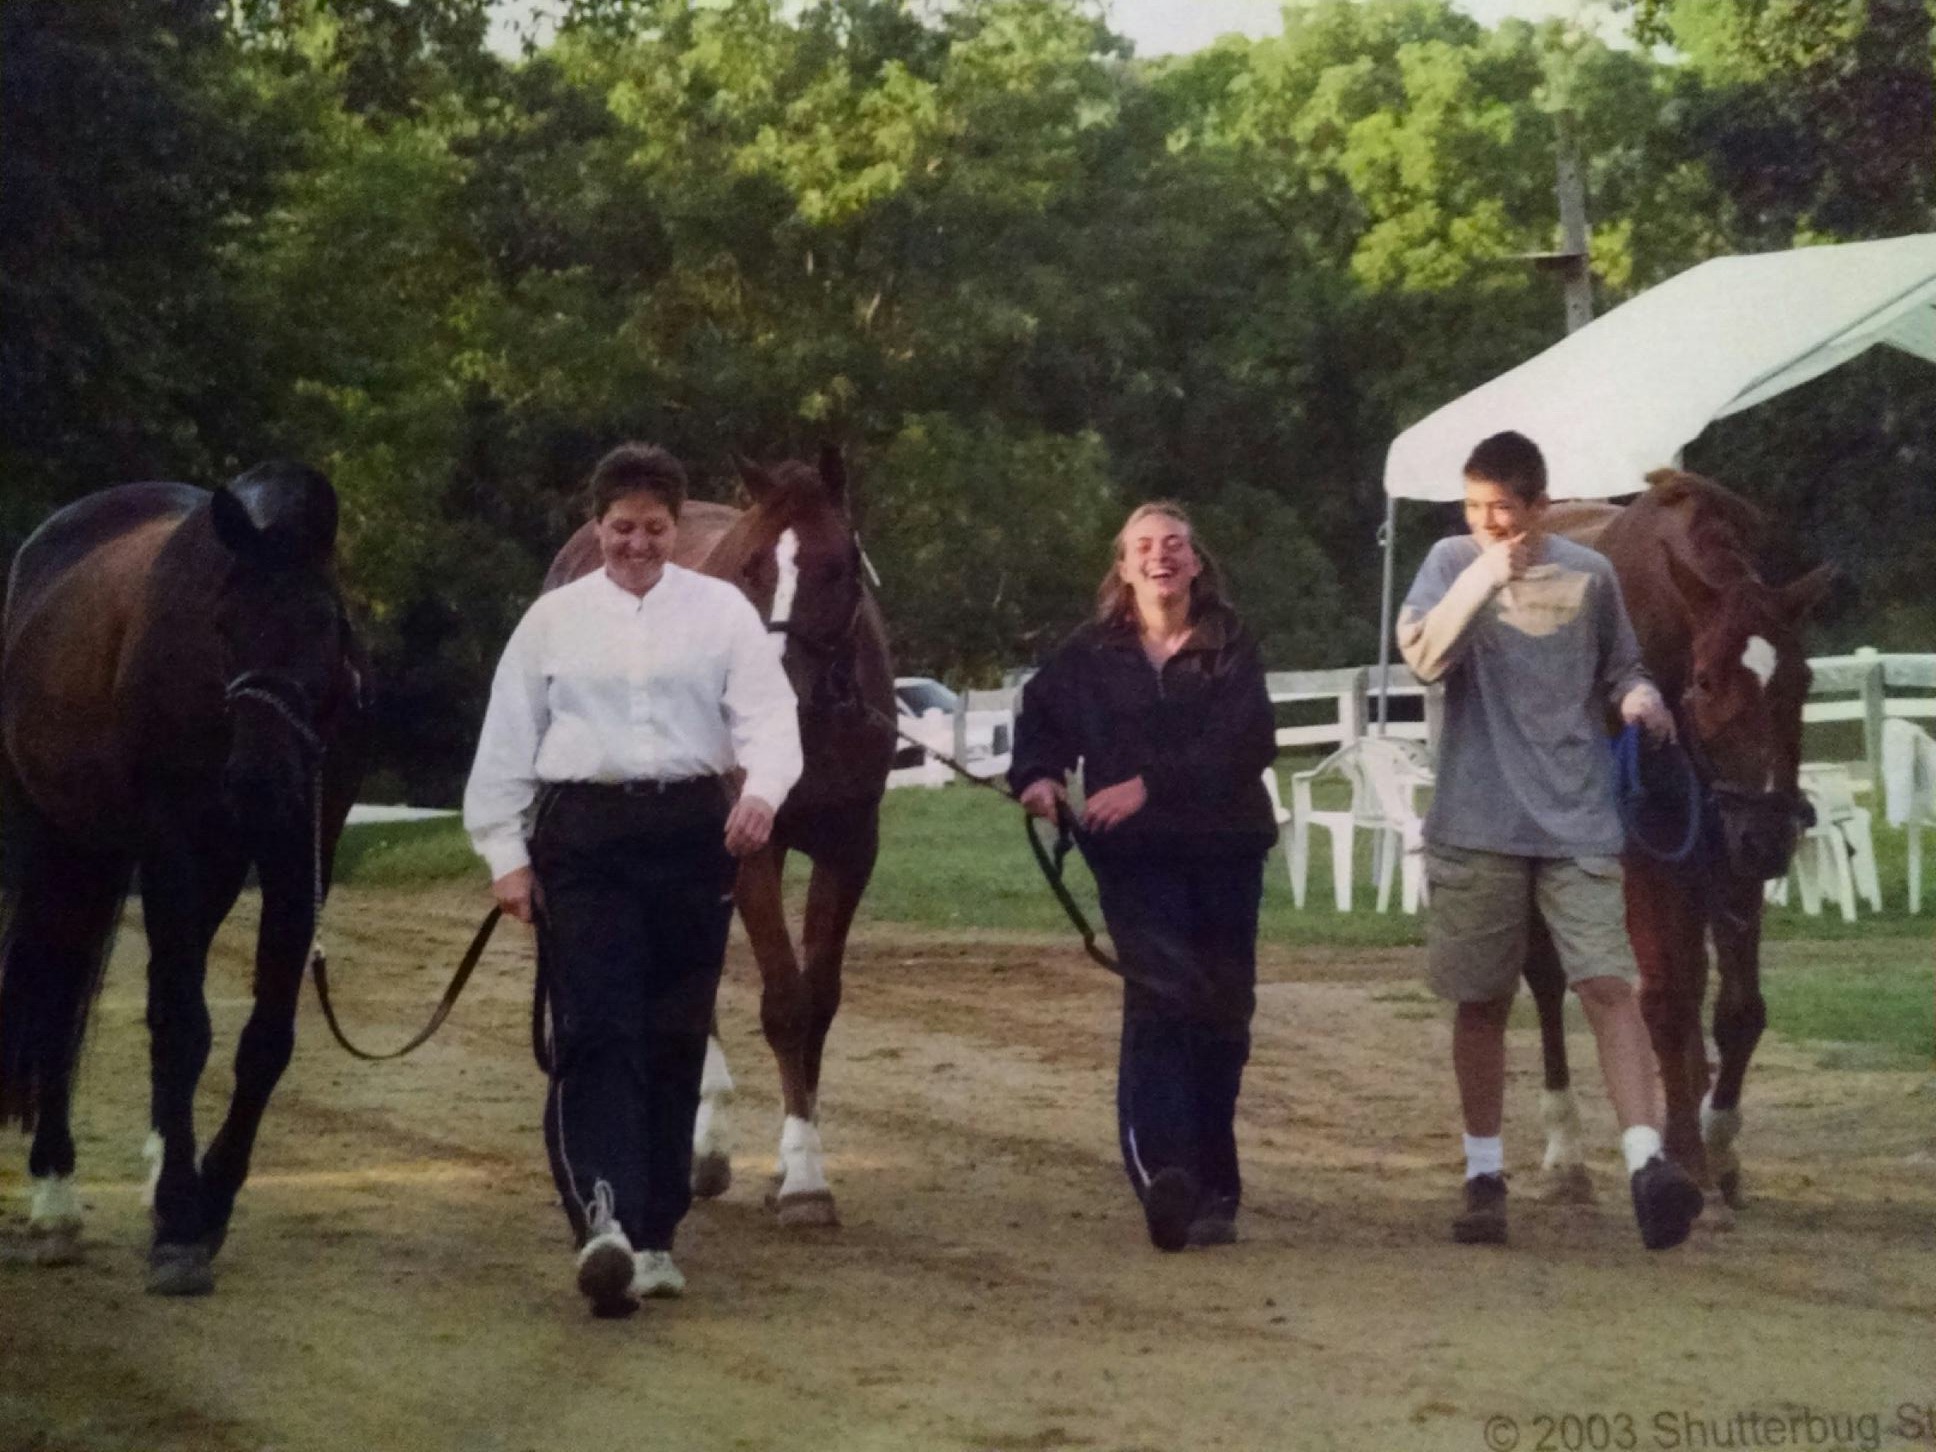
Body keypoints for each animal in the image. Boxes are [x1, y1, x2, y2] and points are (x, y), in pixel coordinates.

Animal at [0, 466, 363, 1293]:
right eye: (222, 623)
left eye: (324, 621)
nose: (261, 785)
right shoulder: (172, 847)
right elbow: (184, 1023)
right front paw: (176, 1218)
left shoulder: (300, 851)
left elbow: (264, 1038)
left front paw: (208, 1197)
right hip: (52, 839)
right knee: (55, 996)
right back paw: (55, 1197)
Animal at [549, 447, 894, 1231]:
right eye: (752, 567)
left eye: (838, 565)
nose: (781, 689)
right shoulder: (751, 849)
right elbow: (784, 1004)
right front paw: (803, 1182)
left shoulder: (850, 849)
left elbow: (818, 1000)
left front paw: (796, 1162)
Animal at [1525, 472, 1827, 1223]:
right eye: (1707, 681)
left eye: (1803, 679)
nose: (1771, 833)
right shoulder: (1648, 860)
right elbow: (1664, 1003)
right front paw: (1689, 1159)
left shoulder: (1731, 861)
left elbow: (1737, 1010)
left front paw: (1718, 1147)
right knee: (1546, 978)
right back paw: (1565, 1151)